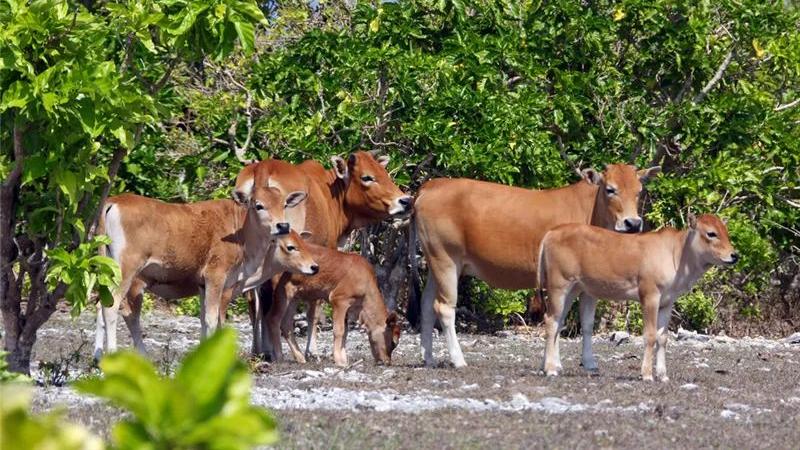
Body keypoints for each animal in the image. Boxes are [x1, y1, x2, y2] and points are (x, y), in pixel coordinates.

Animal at [94, 188, 316, 360]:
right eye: (259, 205)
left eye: (284, 204)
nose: (282, 226)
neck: (240, 233)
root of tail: (114, 201)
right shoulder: (216, 278)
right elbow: (212, 320)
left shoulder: (202, 285)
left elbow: (203, 320)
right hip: (127, 271)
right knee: (115, 307)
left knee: (102, 305)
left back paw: (99, 357)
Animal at [266, 244, 400, 368]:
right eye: (393, 343)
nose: (387, 362)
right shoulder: (339, 300)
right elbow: (339, 330)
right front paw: (339, 361)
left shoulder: (348, 308)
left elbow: (345, 332)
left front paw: (344, 360)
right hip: (282, 292)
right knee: (273, 319)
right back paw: (280, 357)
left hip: (295, 296)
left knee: (286, 324)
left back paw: (300, 357)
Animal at [410, 163, 660, 368]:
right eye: (610, 189)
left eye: (638, 191)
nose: (632, 223)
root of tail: (431, 186)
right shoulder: (560, 280)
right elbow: (557, 319)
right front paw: (553, 363)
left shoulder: (588, 283)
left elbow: (586, 322)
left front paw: (587, 362)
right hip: (446, 259)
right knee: (444, 307)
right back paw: (458, 360)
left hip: (435, 263)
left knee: (426, 304)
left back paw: (428, 358)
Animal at [536, 214, 736, 380]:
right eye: (711, 233)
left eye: (726, 232)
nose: (734, 255)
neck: (676, 255)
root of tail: (550, 233)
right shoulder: (650, 295)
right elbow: (650, 335)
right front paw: (647, 374)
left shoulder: (667, 302)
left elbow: (663, 337)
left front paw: (663, 375)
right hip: (559, 285)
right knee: (551, 320)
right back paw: (550, 369)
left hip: (574, 289)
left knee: (559, 322)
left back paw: (553, 366)